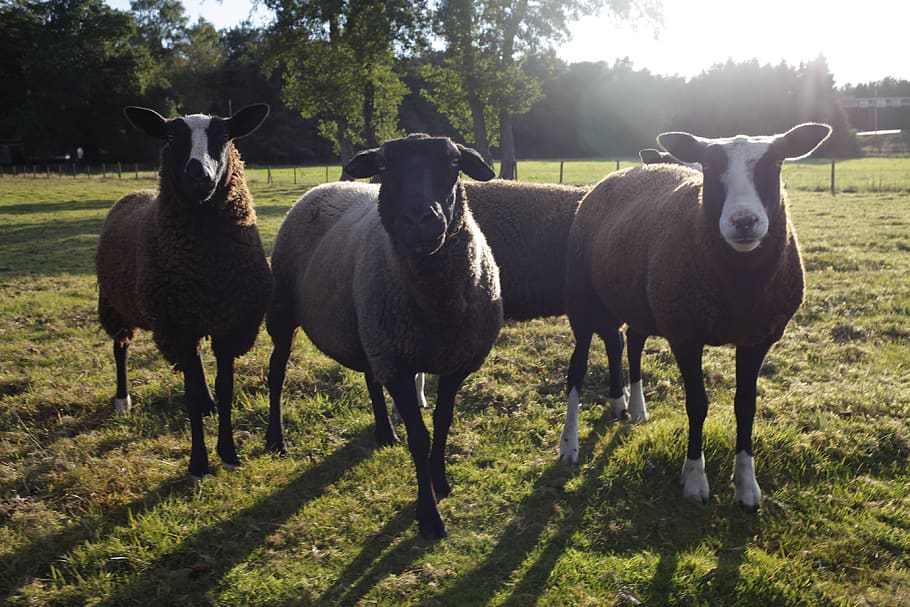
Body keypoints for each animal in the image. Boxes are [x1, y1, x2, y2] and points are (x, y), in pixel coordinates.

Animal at [96, 103, 272, 479]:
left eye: (224, 136)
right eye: (171, 137)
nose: (198, 175)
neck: (205, 264)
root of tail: (135, 194)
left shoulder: (228, 323)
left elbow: (225, 387)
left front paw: (228, 453)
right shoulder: (177, 326)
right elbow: (188, 395)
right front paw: (199, 463)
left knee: (197, 365)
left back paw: (207, 403)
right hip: (117, 305)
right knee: (120, 349)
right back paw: (122, 400)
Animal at [264, 134, 502, 540]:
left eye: (453, 163)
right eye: (386, 165)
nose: (419, 221)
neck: (437, 308)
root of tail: (327, 186)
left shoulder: (454, 360)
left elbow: (443, 421)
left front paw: (440, 481)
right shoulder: (398, 363)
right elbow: (420, 436)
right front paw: (429, 516)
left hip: (366, 329)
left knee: (370, 378)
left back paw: (384, 432)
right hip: (283, 311)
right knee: (277, 372)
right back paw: (277, 439)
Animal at [560, 123, 832, 511]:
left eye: (777, 162)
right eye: (708, 165)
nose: (744, 221)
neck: (738, 289)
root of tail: (615, 176)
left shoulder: (758, 337)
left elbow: (746, 405)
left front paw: (746, 487)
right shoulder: (685, 333)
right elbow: (697, 404)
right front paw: (694, 480)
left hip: (635, 298)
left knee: (623, 340)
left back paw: (627, 405)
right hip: (581, 294)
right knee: (578, 366)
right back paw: (569, 445)